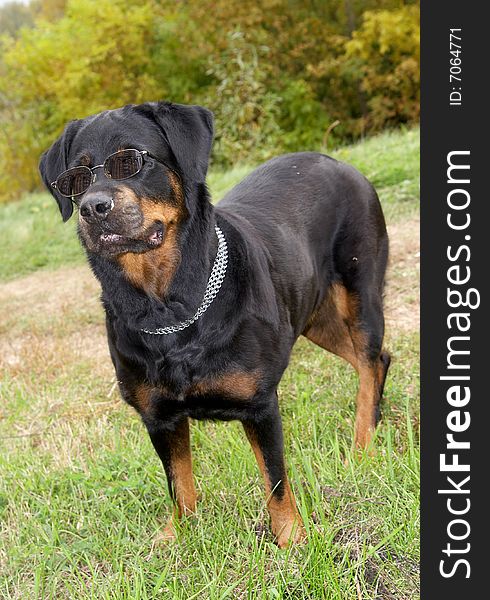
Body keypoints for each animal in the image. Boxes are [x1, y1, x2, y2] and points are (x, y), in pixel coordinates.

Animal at [39, 101, 390, 548]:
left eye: (130, 161)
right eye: (75, 180)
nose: (92, 207)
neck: (166, 310)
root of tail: (337, 161)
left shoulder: (260, 404)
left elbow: (275, 481)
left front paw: (291, 539)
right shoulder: (159, 417)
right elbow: (178, 481)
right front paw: (178, 535)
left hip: (360, 293)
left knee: (368, 358)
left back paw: (364, 442)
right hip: (314, 317)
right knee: (377, 359)